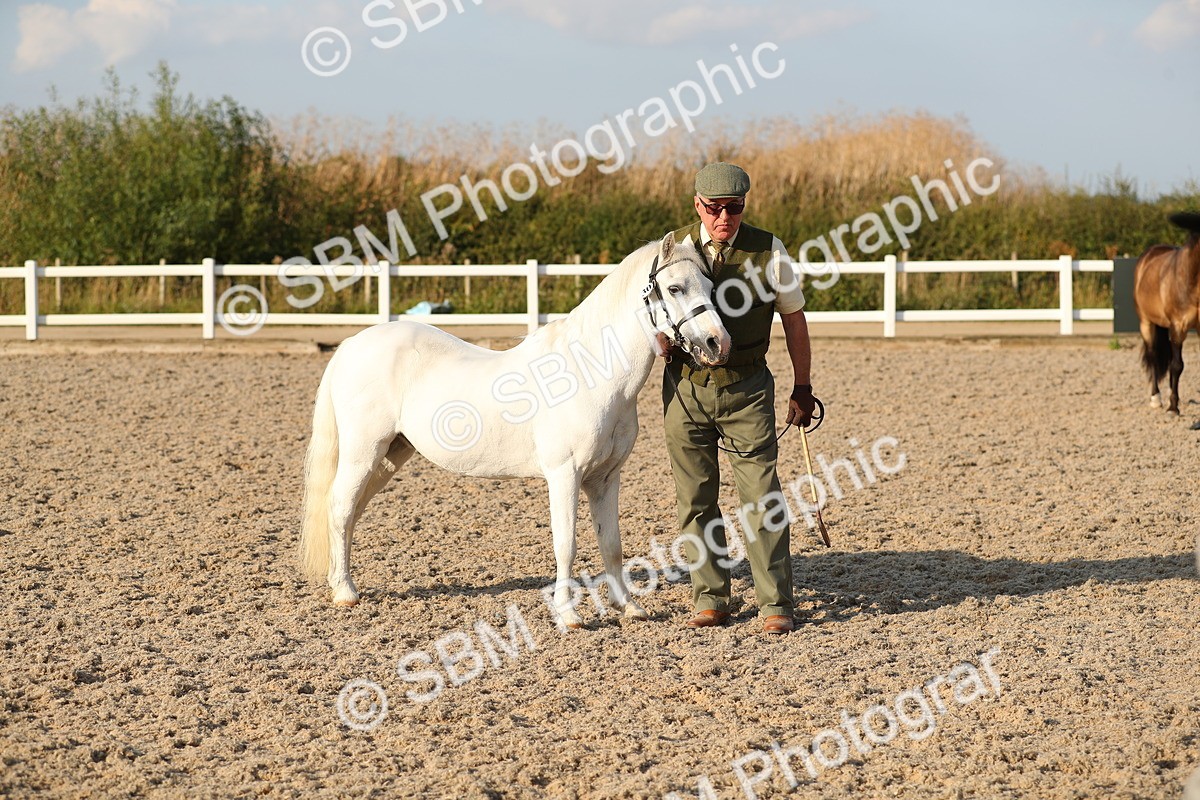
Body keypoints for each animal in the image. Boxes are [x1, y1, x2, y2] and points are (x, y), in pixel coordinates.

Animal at [298, 232, 731, 628]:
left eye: (710, 285)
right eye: (674, 288)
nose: (718, 342)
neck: (590, 373)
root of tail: (351, 344)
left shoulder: (605, 478)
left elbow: (611, 544)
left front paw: (629, 607)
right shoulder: (564, 475)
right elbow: (566, 543)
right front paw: (569, 615)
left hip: (391, 454)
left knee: (350, 511)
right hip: (363, 452)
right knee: (340, 508)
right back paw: (345, 593)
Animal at [1134, 211, 1200, 414]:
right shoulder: (1178, 326)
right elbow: (1177, 365)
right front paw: (1172, 407)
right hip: (1146, 323)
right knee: (1154, 357)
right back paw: (1157, 398)